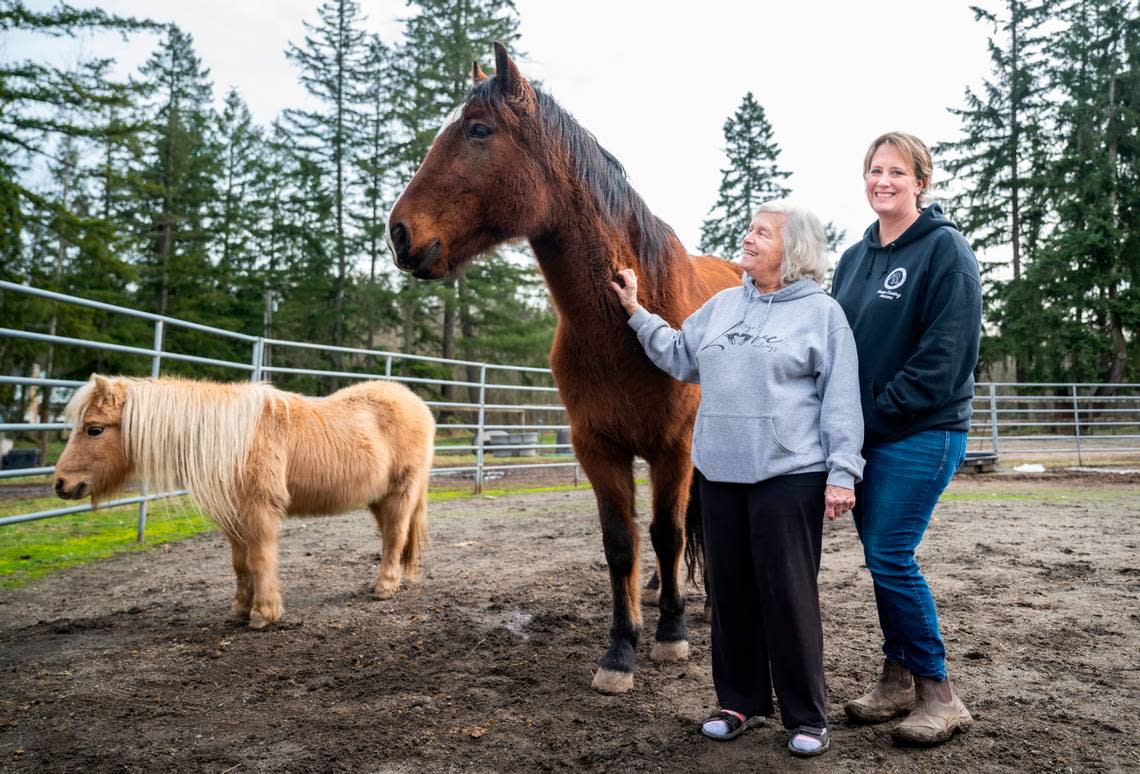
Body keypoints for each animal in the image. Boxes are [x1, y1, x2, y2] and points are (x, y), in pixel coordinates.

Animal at [53, 376, 437, 629]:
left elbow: (260, 558)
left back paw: (385, 587)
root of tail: (417, 404)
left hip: (400, 493)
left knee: (395, 537)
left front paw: (264, 614)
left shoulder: (258, 510)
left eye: (94, 429)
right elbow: (240, 565)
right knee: (391, 538)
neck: (230, 440)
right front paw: (239, 610)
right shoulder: (234, 517)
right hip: (377, 499)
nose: (61, 484)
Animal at [387, 43, 738, 697]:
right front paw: (621, 650)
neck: (624, 325)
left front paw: (672, 634)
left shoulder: (674, 447)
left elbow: (669, 531)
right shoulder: (597, 447)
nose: (399, 233)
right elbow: (622, 544)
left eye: (478, 130)